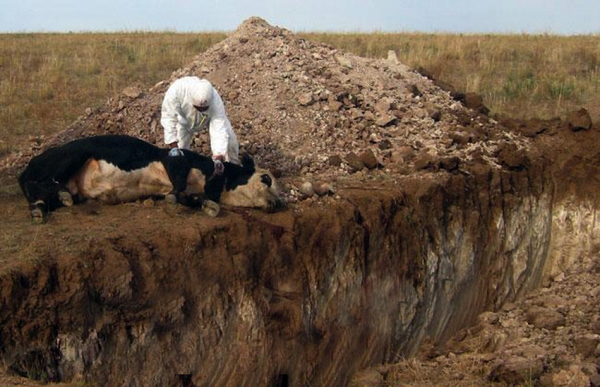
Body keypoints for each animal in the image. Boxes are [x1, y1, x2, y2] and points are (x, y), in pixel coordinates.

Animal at [18, 135, 282, 223]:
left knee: (40, 196)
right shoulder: (174, 160)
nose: (278, 203)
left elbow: (195, 199)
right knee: (39, 183)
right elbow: (177, 185)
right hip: (72, 156)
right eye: (266, 179)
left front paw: (208, 205)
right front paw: (175, 198)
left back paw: (39, 210)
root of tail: (32, 161)